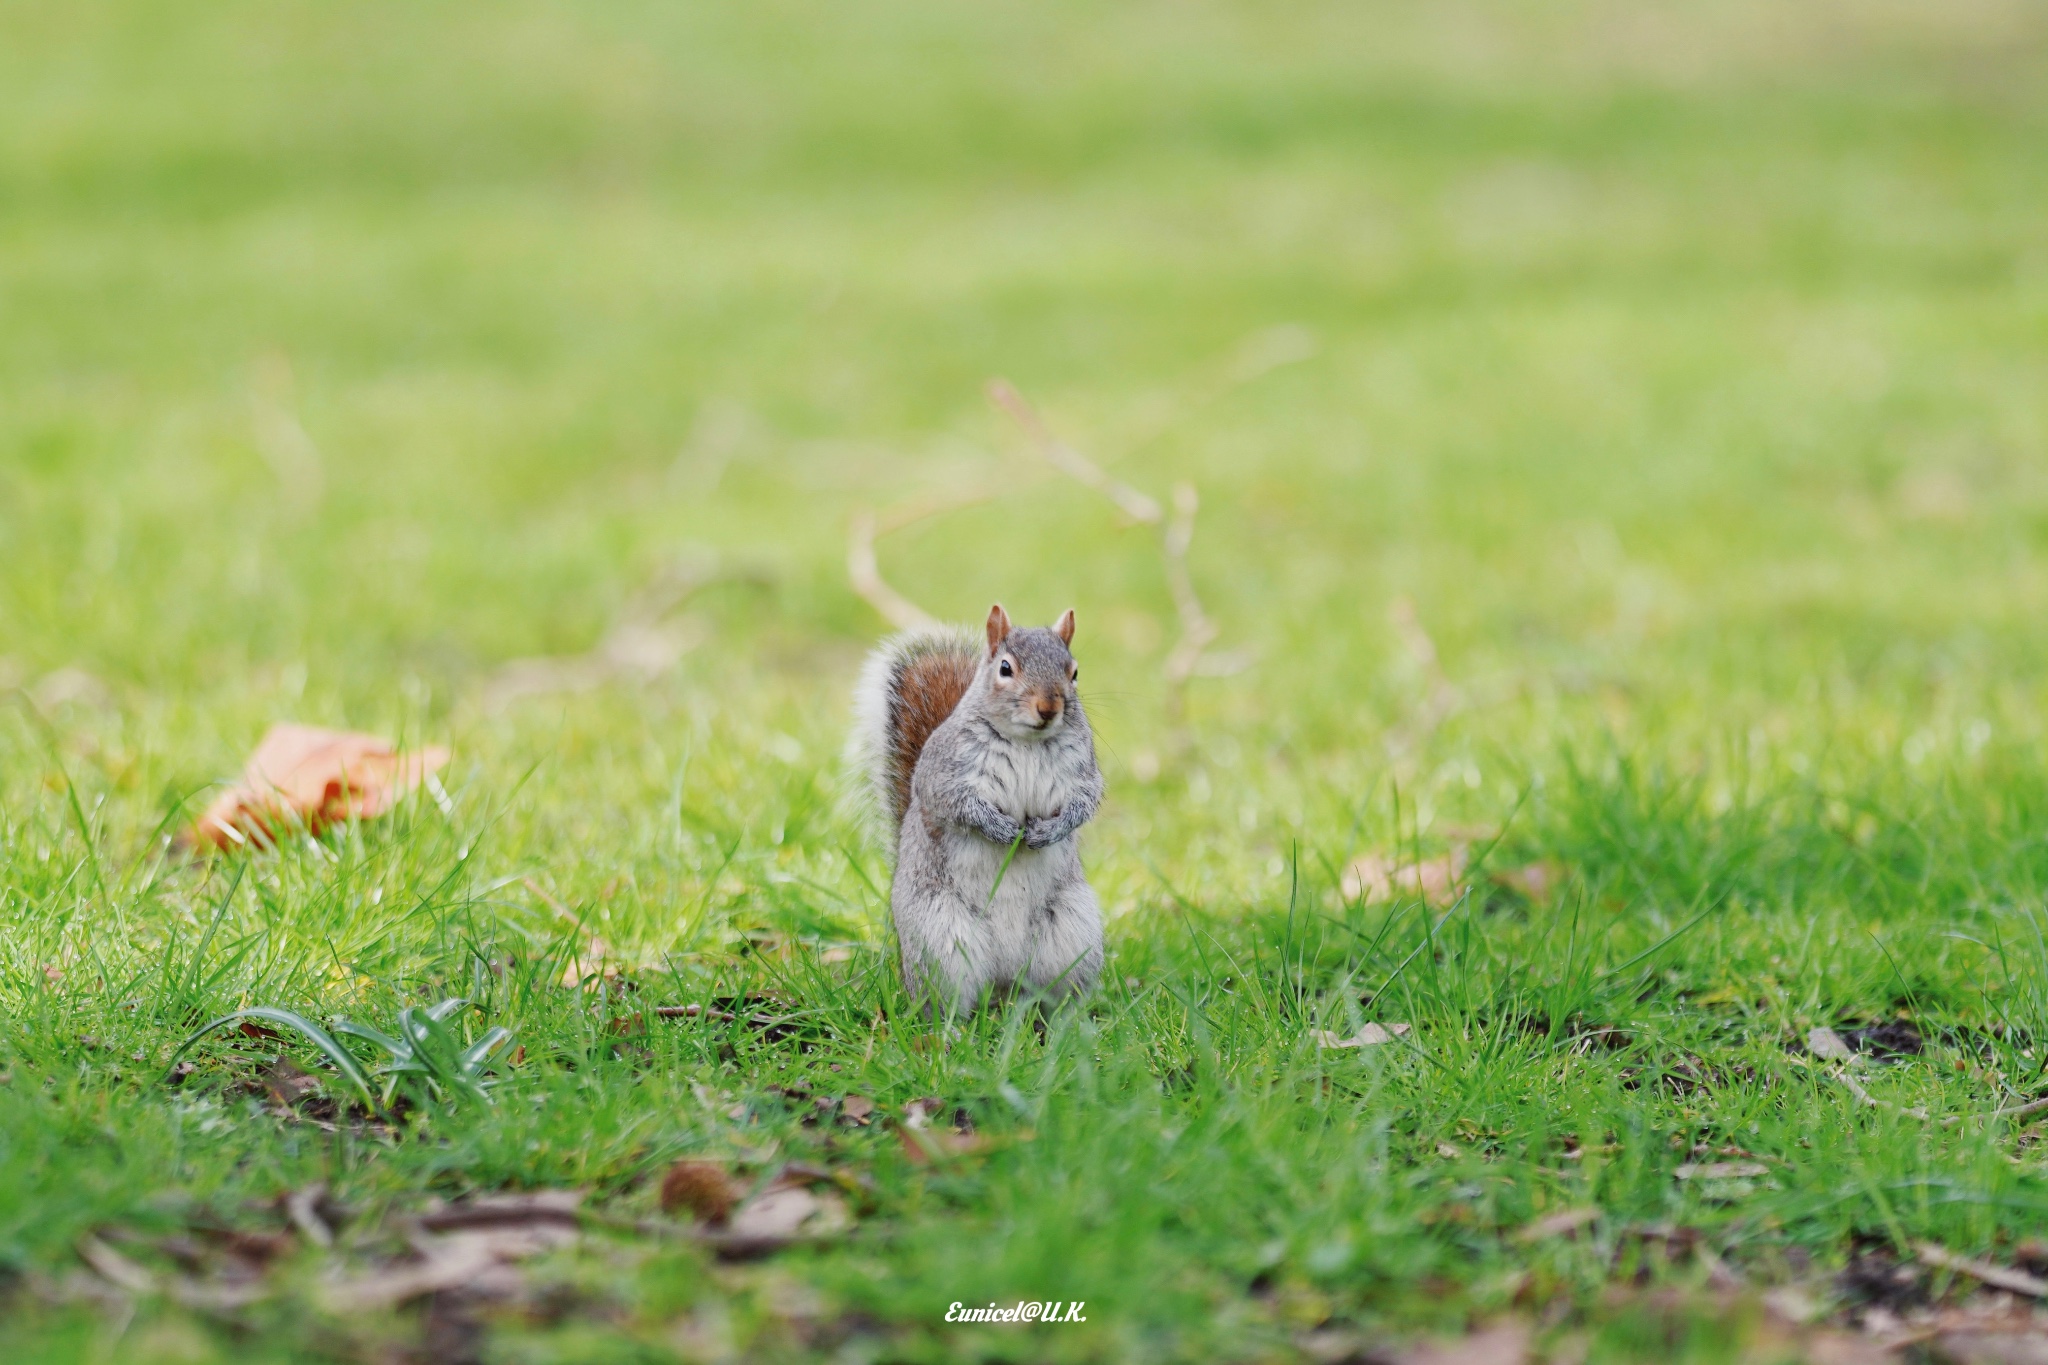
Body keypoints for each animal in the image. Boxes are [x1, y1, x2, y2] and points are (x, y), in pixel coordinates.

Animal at [847, 601, 1105, 1015]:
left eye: (1074, 672)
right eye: (1005, 668)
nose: (1048, 707)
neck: (1027, 741)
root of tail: (1003, 980)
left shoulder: (1083, 773)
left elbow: (1084, 803)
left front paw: (1050, 830)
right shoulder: (942, 776)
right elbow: (958, 806)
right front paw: (1000, 828)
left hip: (1071, 933)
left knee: (1052, 996)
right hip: (940, 942)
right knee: (947, 1001)